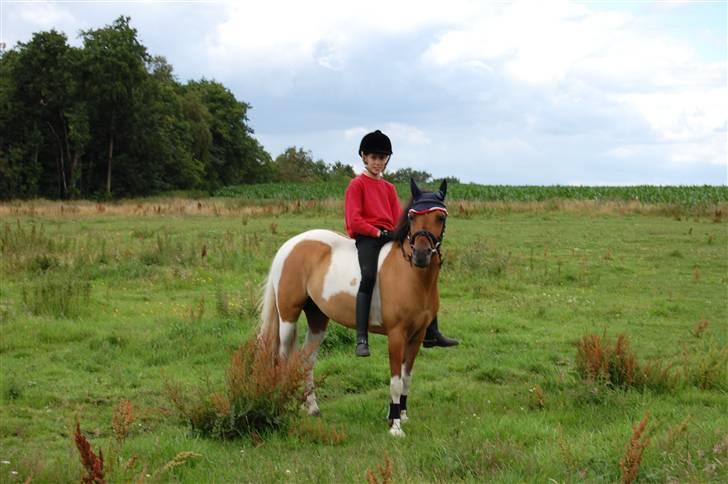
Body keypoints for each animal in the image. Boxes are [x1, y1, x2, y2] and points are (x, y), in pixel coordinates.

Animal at [258, 180, 446, 436]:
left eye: (440, 217)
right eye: (412, 216)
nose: (420, 255)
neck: (411, 276)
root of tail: (291, 244)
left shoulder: (416, 337)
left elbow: (407, 378)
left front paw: (402, 416)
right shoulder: (397, 335)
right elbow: (396, 381)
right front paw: (395, 426)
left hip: (318, 319)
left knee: (306, 360)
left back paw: (312, 408)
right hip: (288, 317)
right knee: (284, 358)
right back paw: (281, 404)